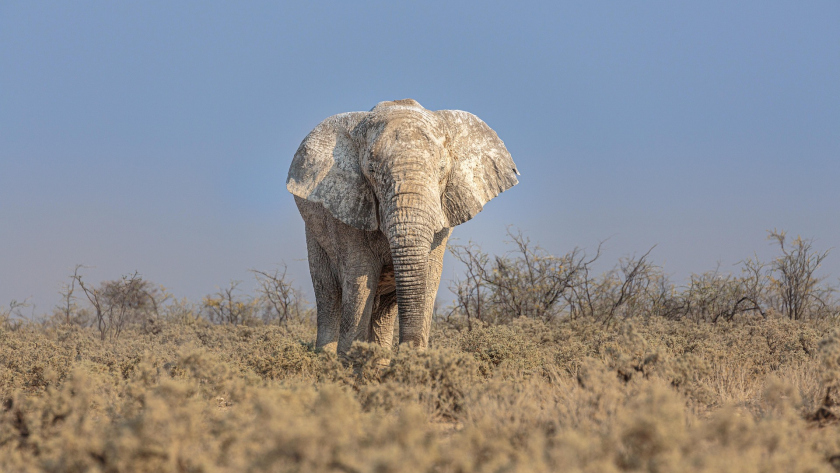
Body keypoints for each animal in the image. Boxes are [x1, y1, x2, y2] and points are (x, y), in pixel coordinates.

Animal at [287, 99, 519, 356]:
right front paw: (349, 361)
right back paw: (325, 357)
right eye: (371, 171)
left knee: (383, 309)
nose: (408, 353)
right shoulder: (347, 208)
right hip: (315, 234)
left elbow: (429, 275)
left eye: (442, 169)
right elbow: (359, 277)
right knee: (328, 294)